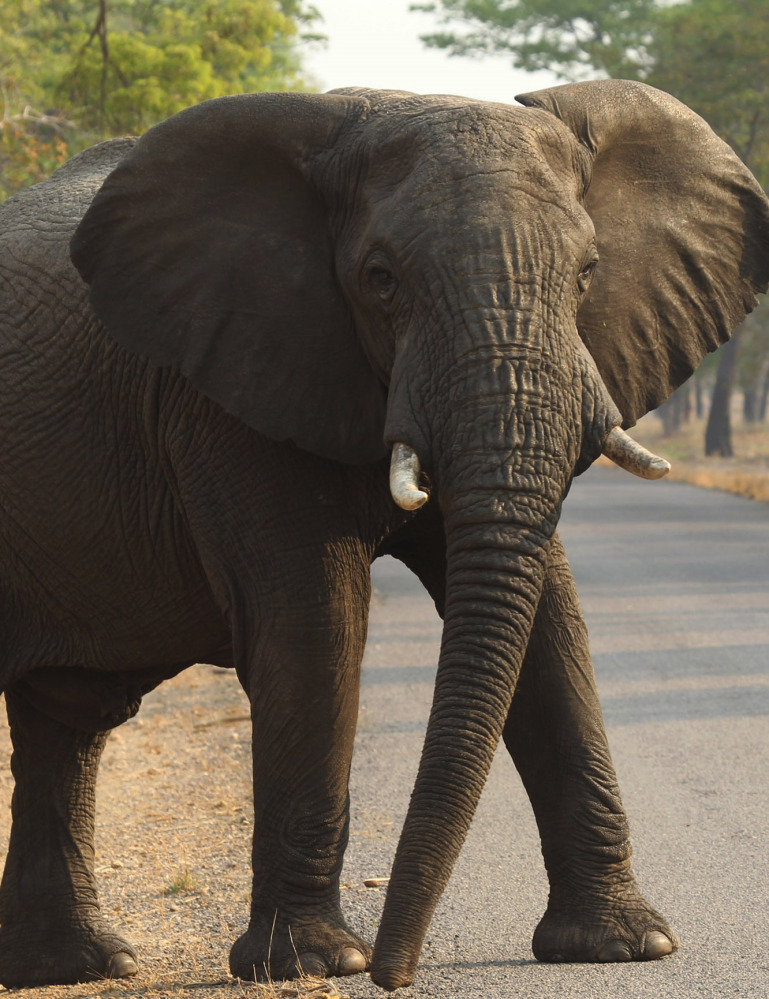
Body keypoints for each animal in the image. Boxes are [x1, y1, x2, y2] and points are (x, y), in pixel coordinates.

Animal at [1, 78, 768, 992]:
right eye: (379, 279)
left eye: (587, 272)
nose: (394, 974)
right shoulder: (228, 390)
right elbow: (316, 625)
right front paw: (314, 961)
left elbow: (548, 618)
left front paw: (625, 945)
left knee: (64, 715)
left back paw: (78, 964)